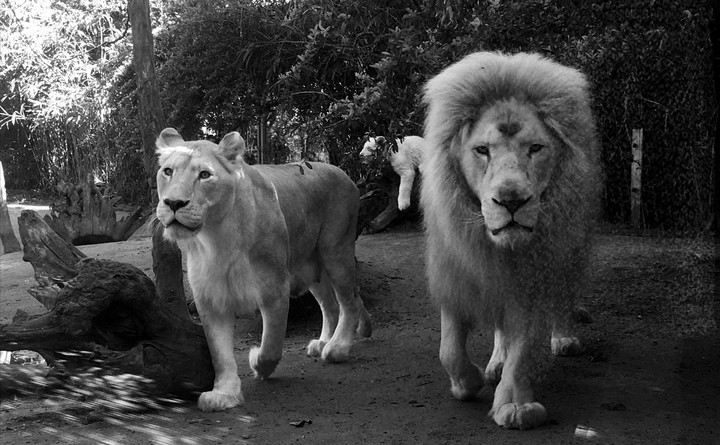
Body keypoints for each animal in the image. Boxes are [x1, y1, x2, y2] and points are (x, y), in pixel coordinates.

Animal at [155, 128, 372, 412]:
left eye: (204, 175)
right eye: (168, 171)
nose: (173, 203)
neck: (216, 237)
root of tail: (344, 174)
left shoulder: (275, 290)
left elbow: (272, 345)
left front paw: (256, 361)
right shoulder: (210, 299)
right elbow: (219, 353)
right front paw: (224, 394)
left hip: (336, 251)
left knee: (349, 302)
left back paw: (337, 348)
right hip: (311, 268)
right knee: (330, 305)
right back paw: (323, 341)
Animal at [420, 52, 601, 429]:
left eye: (535, 148)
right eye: (481, 150)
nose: (512, 201)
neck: (502, 250)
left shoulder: (533, 280)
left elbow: (524, 351)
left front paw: (517, 406)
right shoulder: (456, 272)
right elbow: (449, 349)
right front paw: (467, 383)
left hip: (571, 250)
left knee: (564, 295)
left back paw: (563, 338)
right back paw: (496, 362)